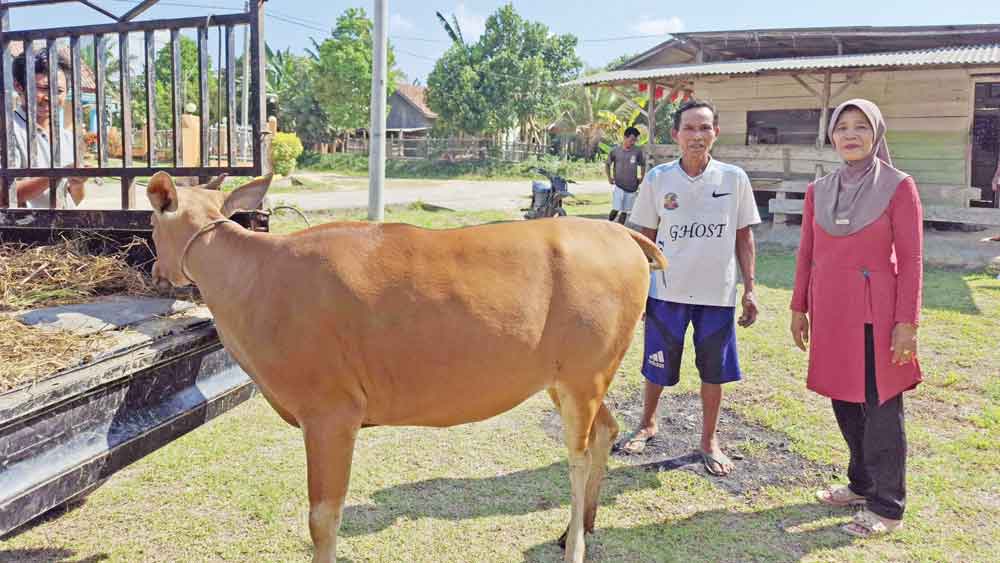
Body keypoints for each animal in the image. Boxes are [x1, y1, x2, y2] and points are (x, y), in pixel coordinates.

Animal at [146, 172, 667, 563]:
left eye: (152, 221)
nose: (154, 272)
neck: (256, 281)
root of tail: (623, 233)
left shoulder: (331, 412)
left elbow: (323, 519)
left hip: (584, 375)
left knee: (576, 458)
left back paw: (574, 545)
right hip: (569, 377)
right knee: (605, 431)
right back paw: (579, 526)